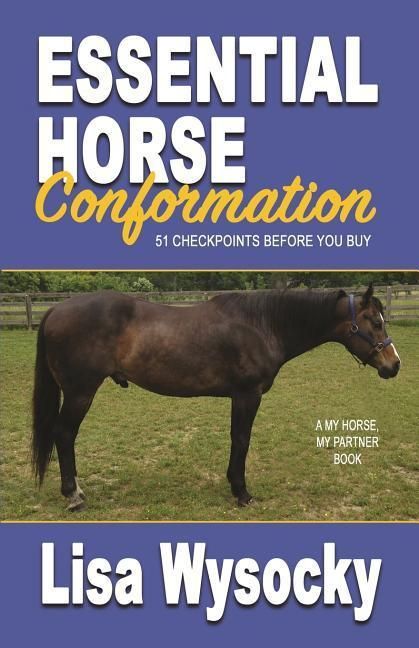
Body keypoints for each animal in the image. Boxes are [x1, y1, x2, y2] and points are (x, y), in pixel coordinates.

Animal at [32, 284, 401, 510]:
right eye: (374, 322)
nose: (394, 365)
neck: (262, 325)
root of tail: (54, 310)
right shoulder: (247, 395)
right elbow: (241, 439)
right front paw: (241, 492)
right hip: (80, 392)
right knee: (64, 434)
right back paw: (74, 496)